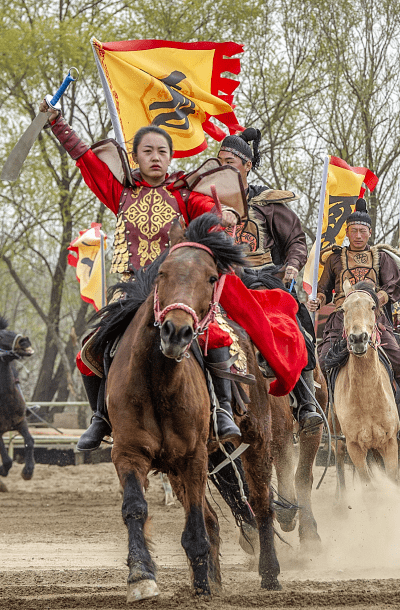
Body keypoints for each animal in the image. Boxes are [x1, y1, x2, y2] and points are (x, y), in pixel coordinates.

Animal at [92, 214, 282, 600]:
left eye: (211, 277)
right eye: (162, 272)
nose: (175, 331)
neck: (157, 382)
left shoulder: (193, 456)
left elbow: (196, 523)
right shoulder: (129, 453)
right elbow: (135, 509)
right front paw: (141, 575)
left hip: (258, 440)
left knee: (260, 504)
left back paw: (269, 574)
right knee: (215, 517)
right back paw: (209, 578)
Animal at [330, 278, 398, 496]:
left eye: (373, 307)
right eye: (343, 309)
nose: (358, 338)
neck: (368, 399)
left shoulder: (390, 443)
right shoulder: (355, 447)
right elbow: (369, 486)